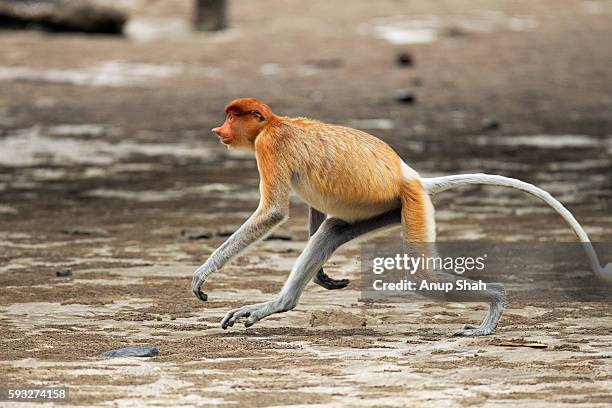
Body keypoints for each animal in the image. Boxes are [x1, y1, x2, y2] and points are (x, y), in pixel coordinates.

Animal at [192, 98, 612, 334]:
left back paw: (494, 303)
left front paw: (203, 273)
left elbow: (274, 212)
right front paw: (325, 277)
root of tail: (411, 175)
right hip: (385, 210)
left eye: (232, 117)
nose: (217, 128)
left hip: (412, 204)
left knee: (423, 277)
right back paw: (280, 304)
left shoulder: (270, 147)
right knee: (331, 229)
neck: (275, 122)